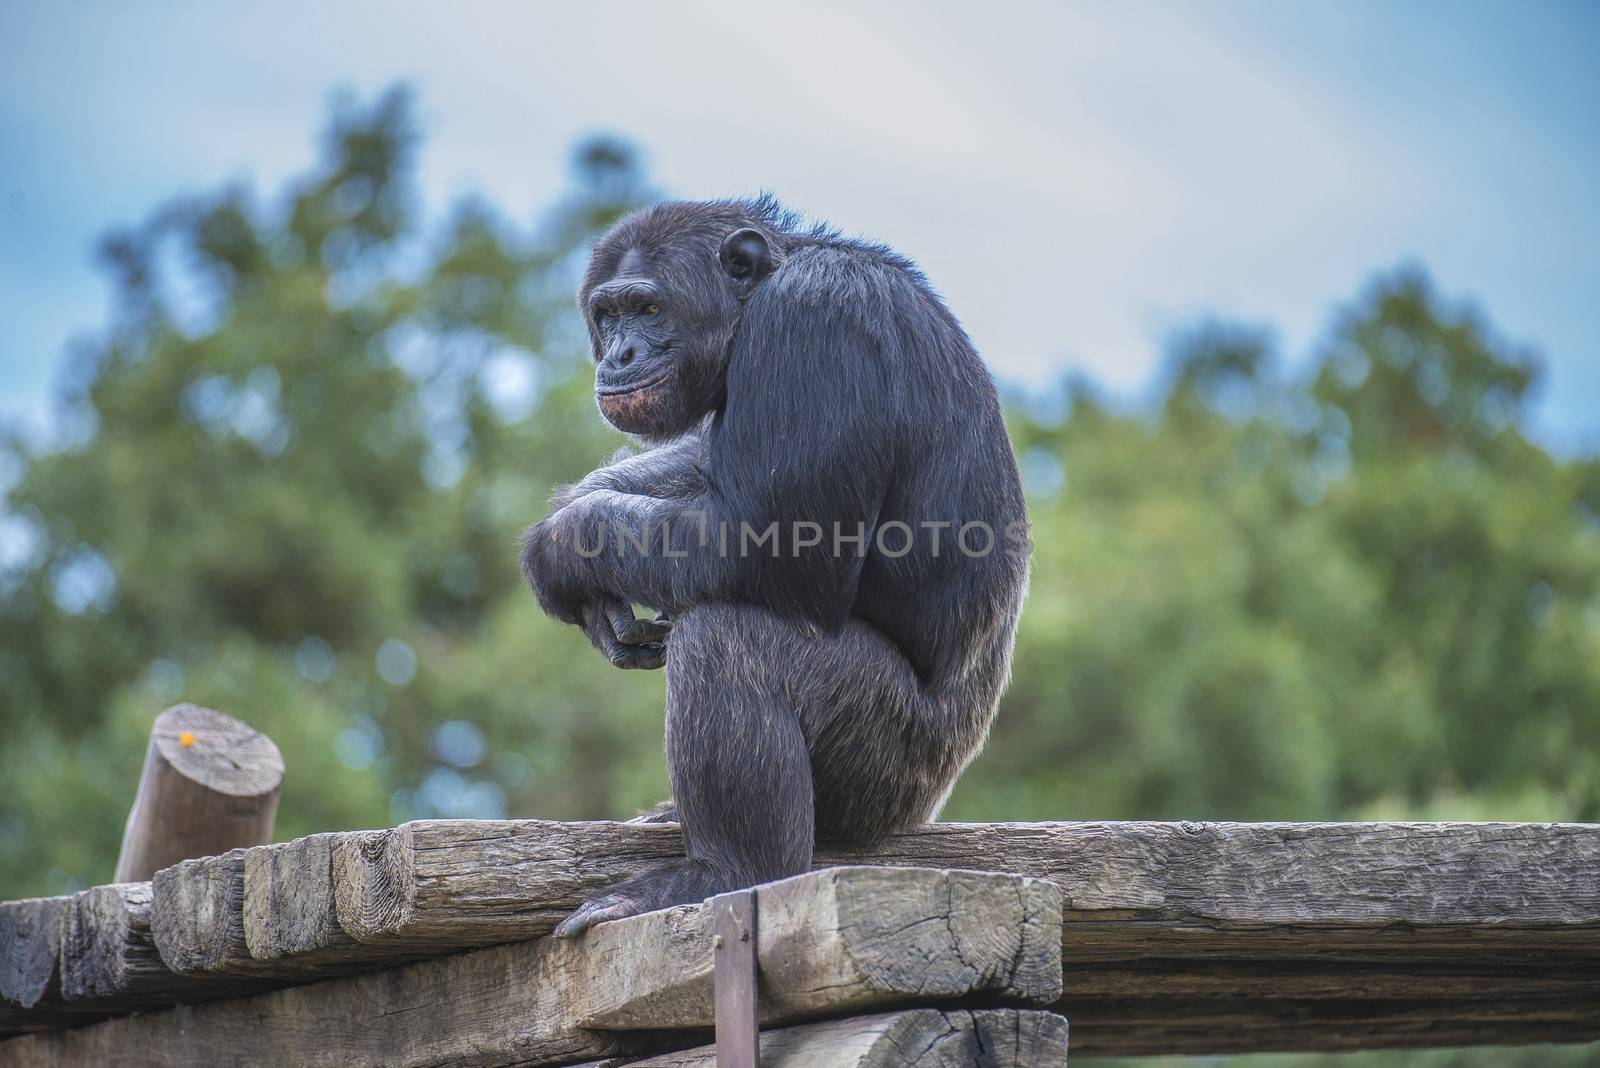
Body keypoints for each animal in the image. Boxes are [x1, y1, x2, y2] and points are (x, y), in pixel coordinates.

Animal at [518, 198, 1030, 933]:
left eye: (648, 308)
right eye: (608, 314)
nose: (620, 352)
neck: (758, 299)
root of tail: (925, 808)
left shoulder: (815, 321)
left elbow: (763, 542)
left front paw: (561, 546)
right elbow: (707, 465)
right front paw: (578, 529)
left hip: (887, 762)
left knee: (729, 637)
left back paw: (725, 872)